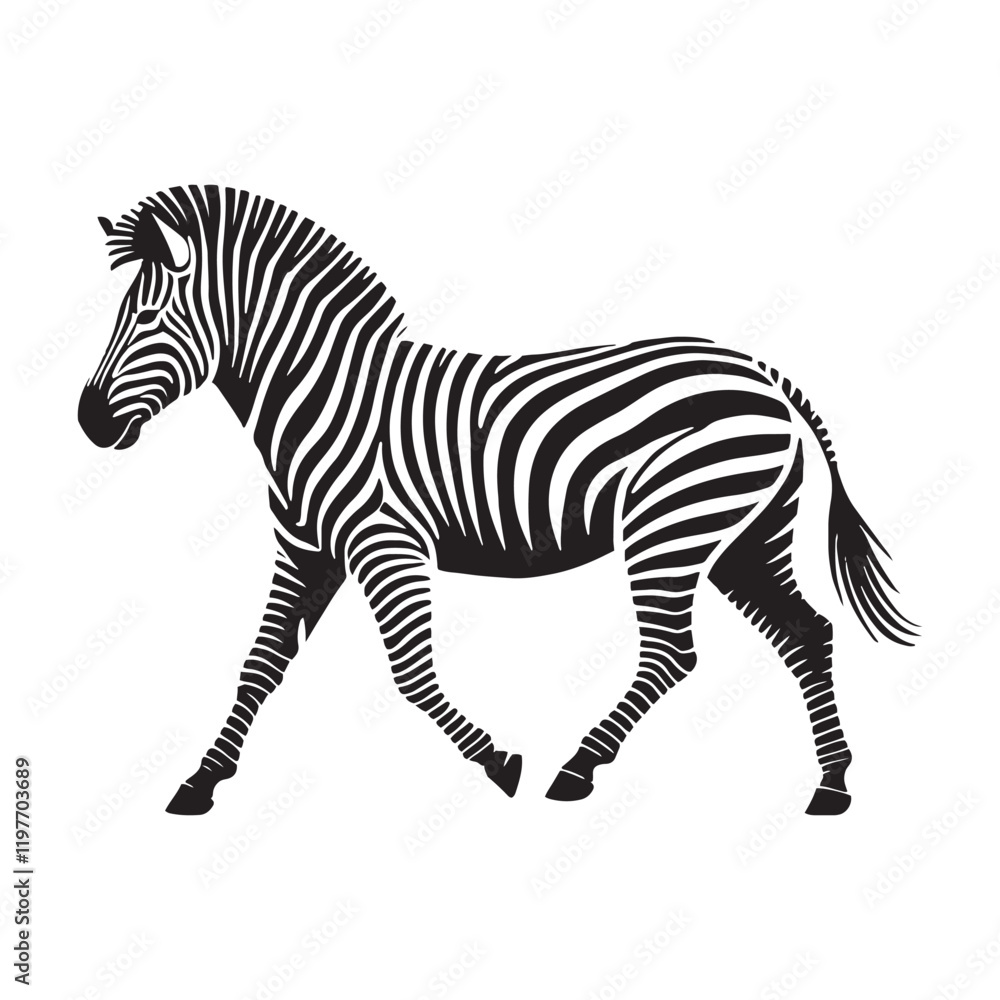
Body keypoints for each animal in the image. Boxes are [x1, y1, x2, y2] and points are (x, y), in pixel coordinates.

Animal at [79, 185, 916, 818]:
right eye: (119, 315)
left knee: (674, 653)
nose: (89, 422)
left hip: (672, 526)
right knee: (806, 632)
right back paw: (832, 786)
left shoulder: (387, 543)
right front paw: (200, 781)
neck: (323, 394)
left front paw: (501, 761)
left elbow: (411, 674)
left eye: (149, 317)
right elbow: (258, 666)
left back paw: (576, 769)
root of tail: (760, 373)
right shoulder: (309, 550)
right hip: (743, 536)